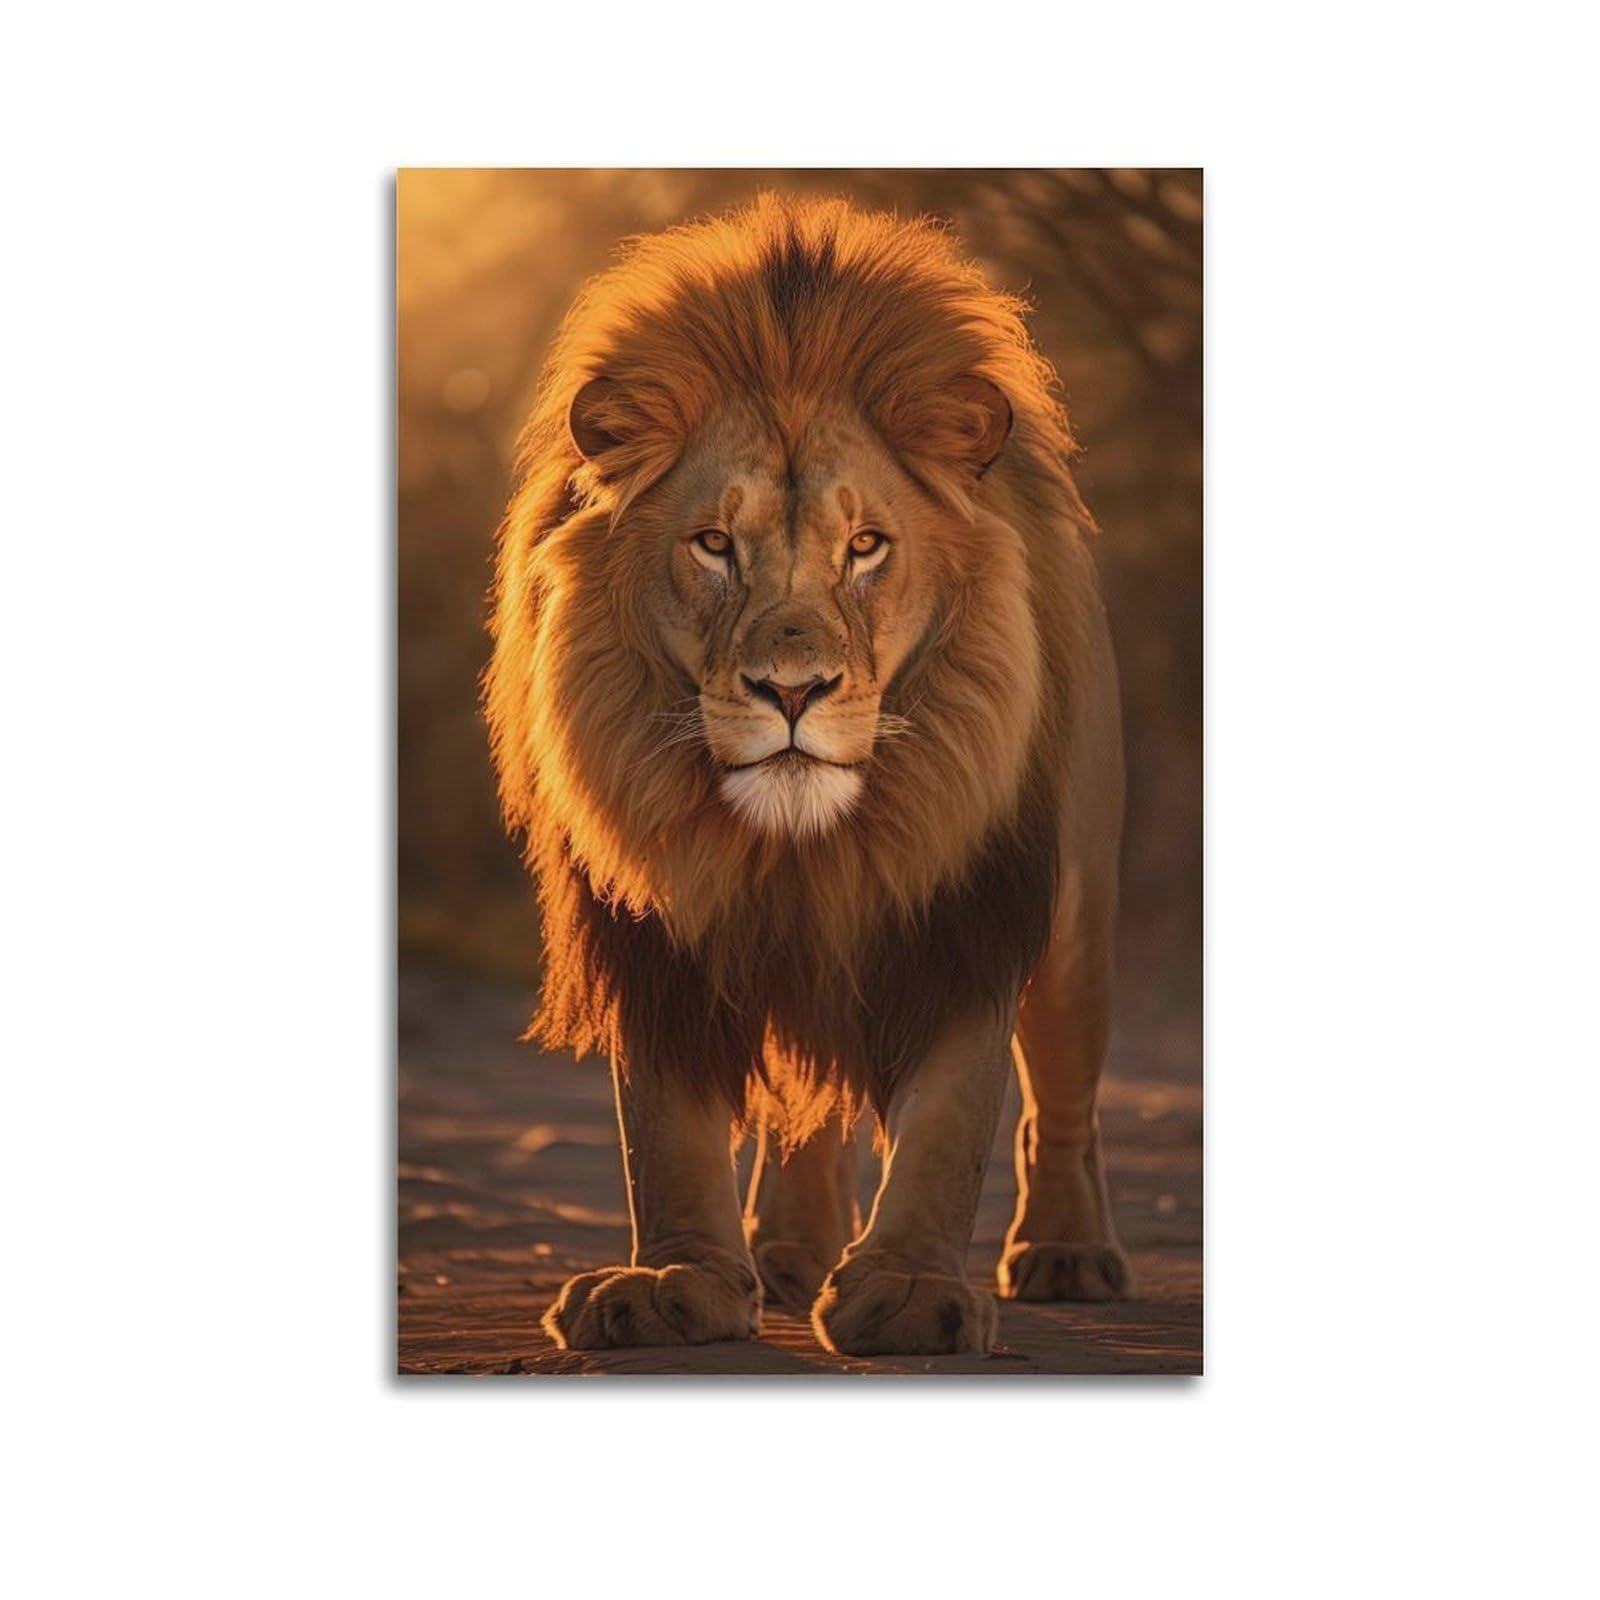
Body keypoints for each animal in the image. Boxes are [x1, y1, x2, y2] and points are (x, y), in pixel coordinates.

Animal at [485, 195, 1129, 1357]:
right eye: (712, 544)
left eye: (866, 545)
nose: (794, 689)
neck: (798, 844)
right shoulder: (655, 916)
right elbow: (664, 1128)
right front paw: (676, 1279)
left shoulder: (964, 903)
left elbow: (954, 1117)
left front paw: (912, 1288)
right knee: (806, 1110)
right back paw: (786, 1253)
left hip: (1077, 913)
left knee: (1062, 1095)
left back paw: (1066, 1252)